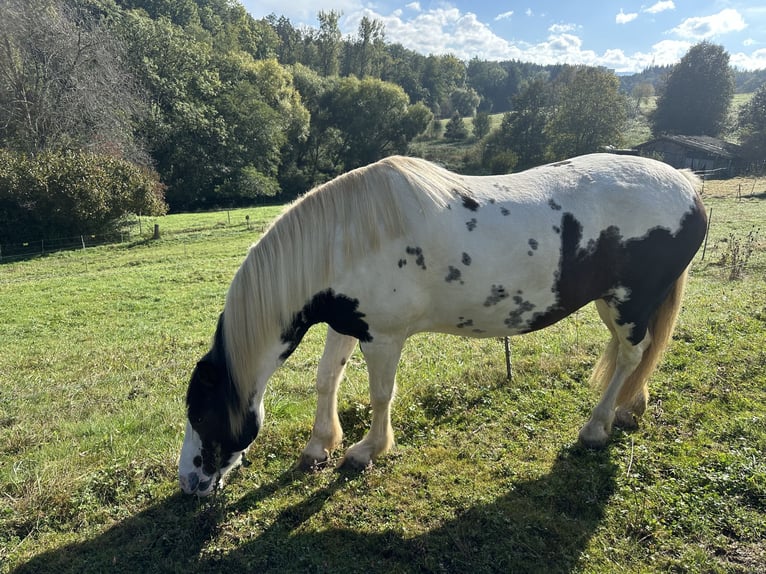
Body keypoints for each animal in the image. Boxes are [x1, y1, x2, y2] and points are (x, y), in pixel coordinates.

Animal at [178, 154, 708, 500]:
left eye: (201, 413)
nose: (187, 483)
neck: (343, 241)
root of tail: (686, 184)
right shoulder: (346, 324)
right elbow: (327, 379)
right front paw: (318, 446)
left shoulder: (383, 338)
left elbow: (380, 395)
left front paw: (367, 451)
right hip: (616, 304)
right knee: (635, 355)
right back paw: (628, 410)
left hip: (629, 302)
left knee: (630, 355)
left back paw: (597, 427)